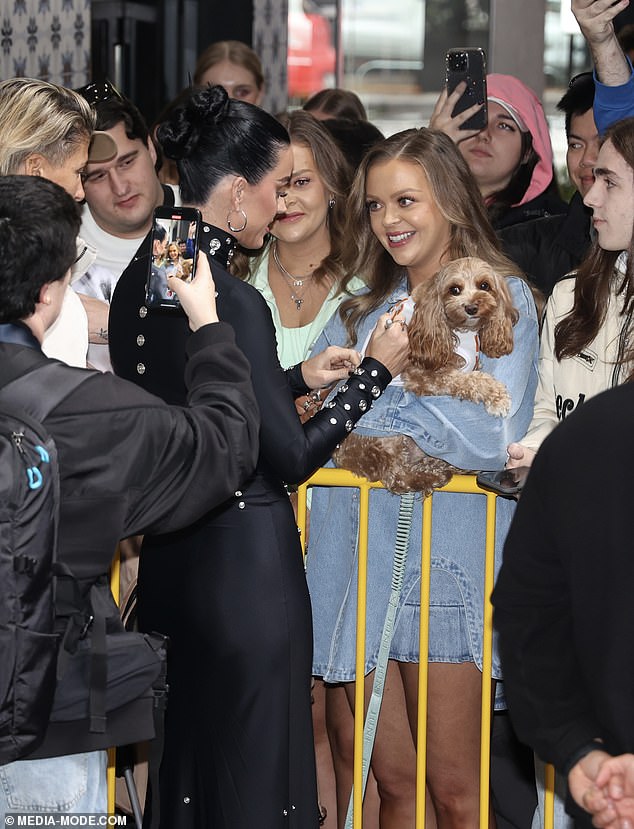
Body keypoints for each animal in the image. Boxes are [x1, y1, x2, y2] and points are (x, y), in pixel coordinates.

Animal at [334, 258, 516, 492]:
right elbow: (471, 381)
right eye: (454, 289)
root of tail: (342, 458)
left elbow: (474, 376)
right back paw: (434, 475)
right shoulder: (424, 376)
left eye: (484, 285)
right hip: (386, 441)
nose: (471, 307)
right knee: (396, 476)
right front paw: (498, 399)